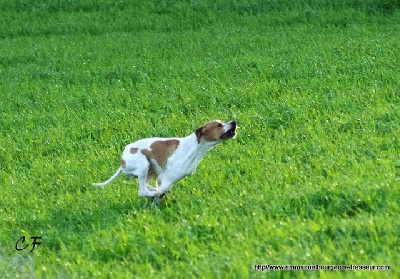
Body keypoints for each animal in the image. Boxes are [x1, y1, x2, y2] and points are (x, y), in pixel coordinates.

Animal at [93, 121, 238, 198]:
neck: (194, 147)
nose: (234, 122)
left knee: (144, 186)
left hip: (150, 170)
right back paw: (154, 193)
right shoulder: (165, 179)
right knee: (142, 191)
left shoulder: (162, 179)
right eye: (219, 124)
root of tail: (122, 161)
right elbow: (160, 190)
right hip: (143, 164)